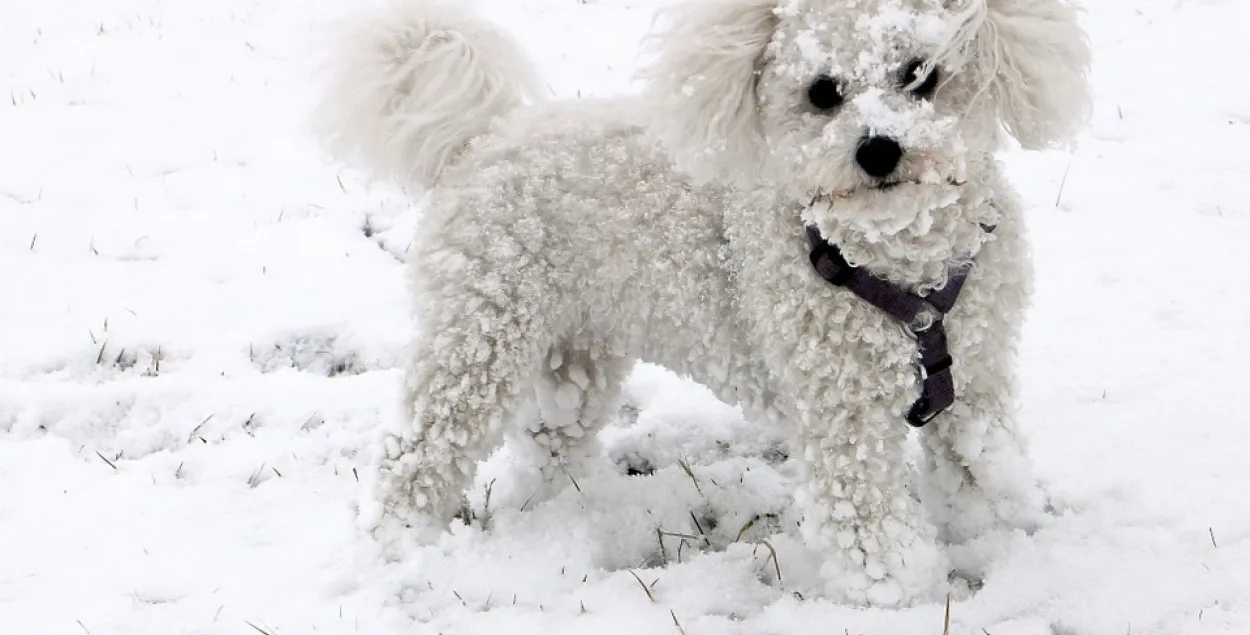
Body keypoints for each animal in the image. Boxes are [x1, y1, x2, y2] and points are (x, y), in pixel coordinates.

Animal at [315, 0, 1095, 607]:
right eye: (823, 92)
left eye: (920, 75)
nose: (878, 149)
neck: (904, 270)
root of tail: (485, 137)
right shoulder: (841, 416)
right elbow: (866, 520)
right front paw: (899, 594)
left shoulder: (978, 380)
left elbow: (977, 467)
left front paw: (993, 535)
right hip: (479, 337)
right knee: (417, 452)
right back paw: (401, 543)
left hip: (576, 350)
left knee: (548, 441)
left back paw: (568, 514)